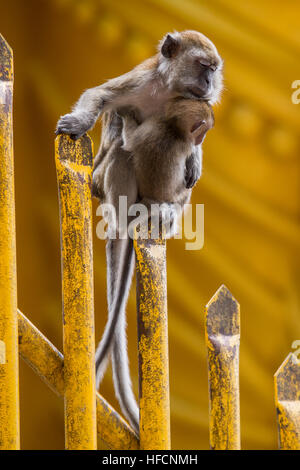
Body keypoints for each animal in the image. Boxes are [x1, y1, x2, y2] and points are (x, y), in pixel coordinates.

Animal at [56, 29, 223, 436]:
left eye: (214, 70)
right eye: (202, 66)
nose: (210, 84)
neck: (167, 90)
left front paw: (196, 160)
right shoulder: (140, 83)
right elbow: (102, 98)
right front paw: (79, 122)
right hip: (107, 185)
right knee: (120, 152)